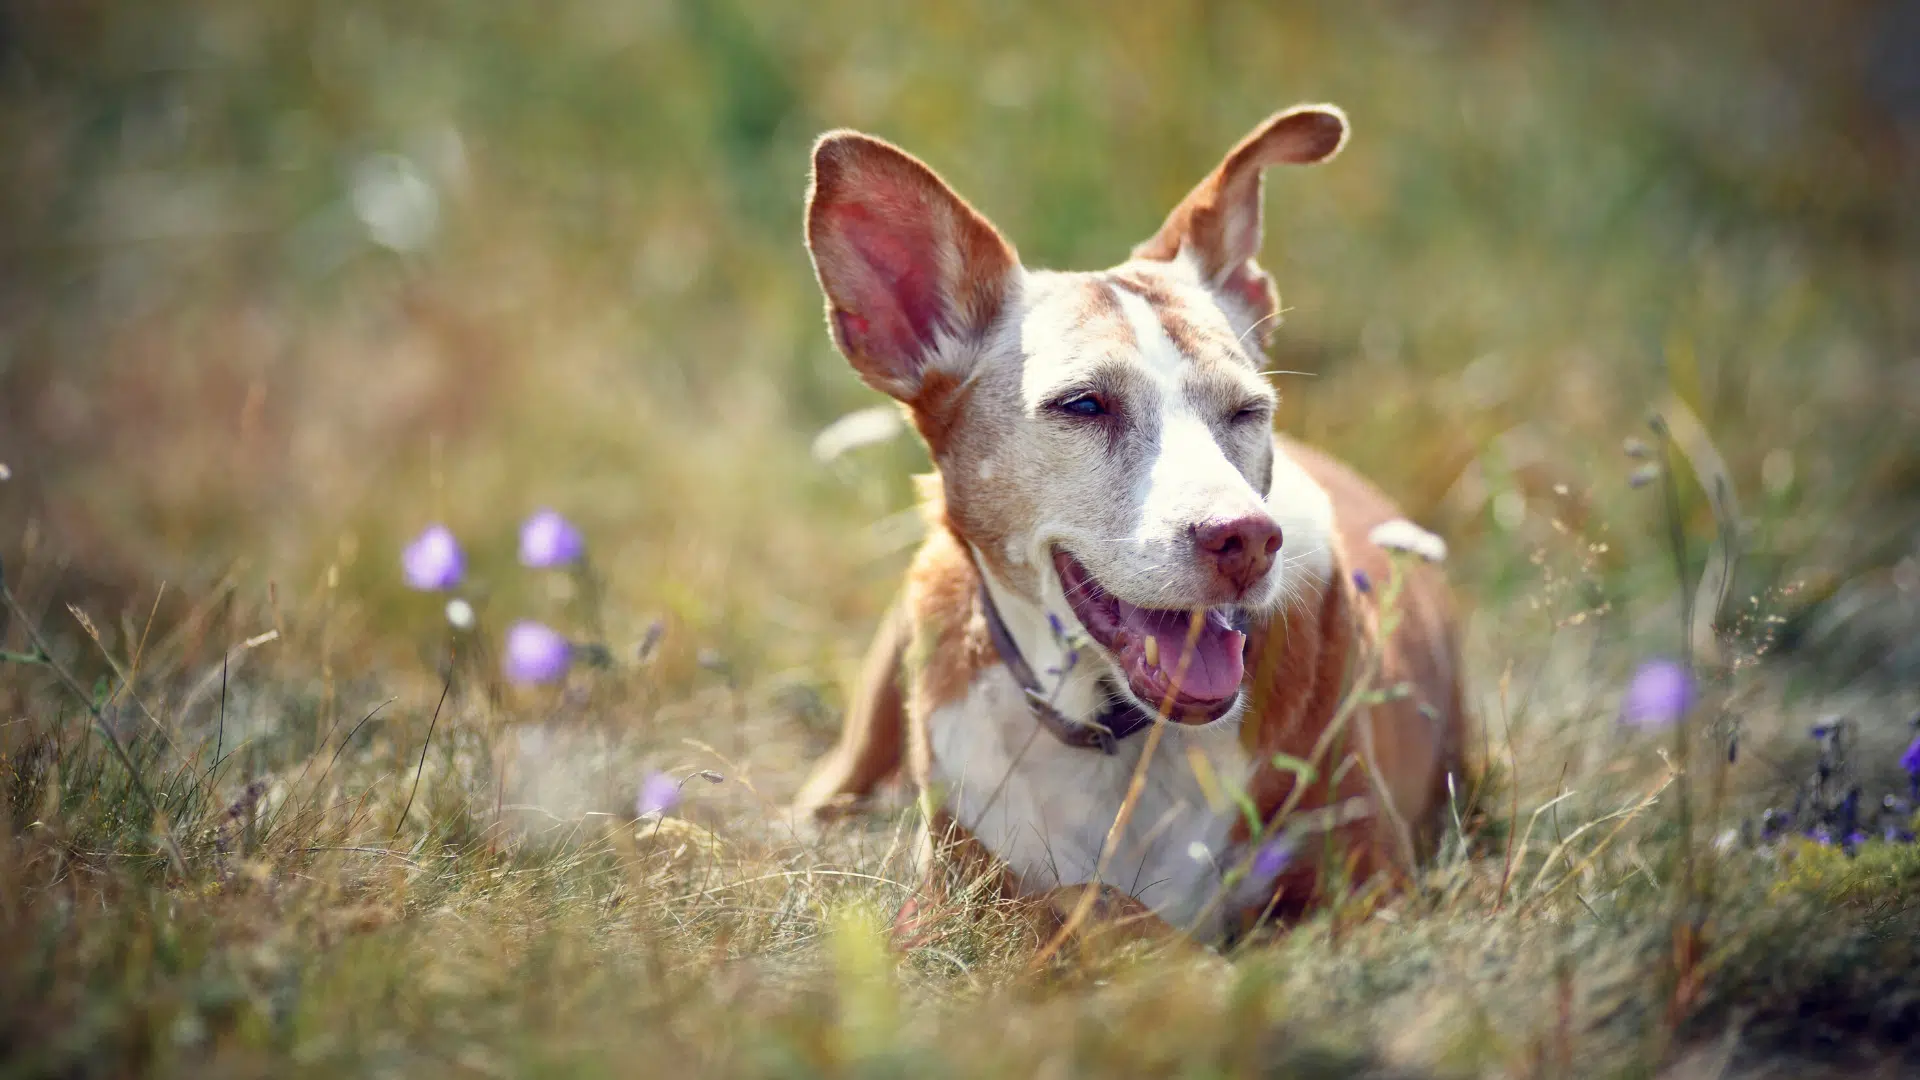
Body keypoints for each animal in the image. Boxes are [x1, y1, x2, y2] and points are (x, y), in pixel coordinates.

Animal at [794, 102, 1466, 941]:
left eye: (1248, 411)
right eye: (1085, 404)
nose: (1246, 538)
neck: (1113, 733)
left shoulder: (1377, 886)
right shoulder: (954, 886)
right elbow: (1079, 898)